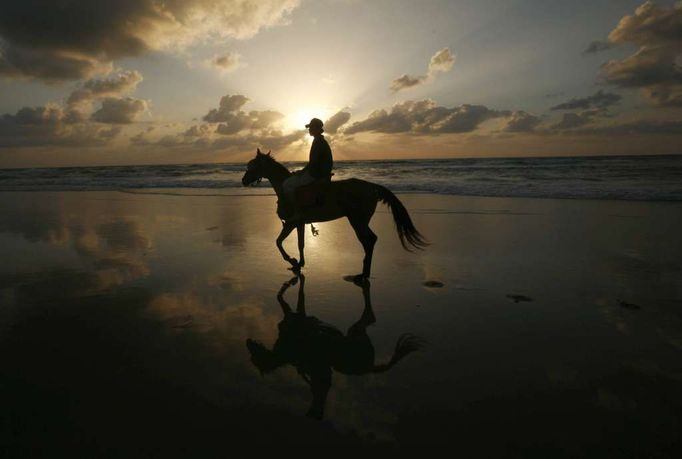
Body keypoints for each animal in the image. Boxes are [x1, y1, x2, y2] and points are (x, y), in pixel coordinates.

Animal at [242, 151, 428, 280]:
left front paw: (292, 260)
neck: (285, 189)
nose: (243, 180)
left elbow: (278, 242)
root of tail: (372, 186)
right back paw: (364, 273)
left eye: (252, 165)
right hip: (359, 221)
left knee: (369, 241)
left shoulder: (291, 222)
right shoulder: (299, 223)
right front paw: (299, 263)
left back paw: (363, 274)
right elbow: (300, 244)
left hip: (357, 221)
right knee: (370, 240)